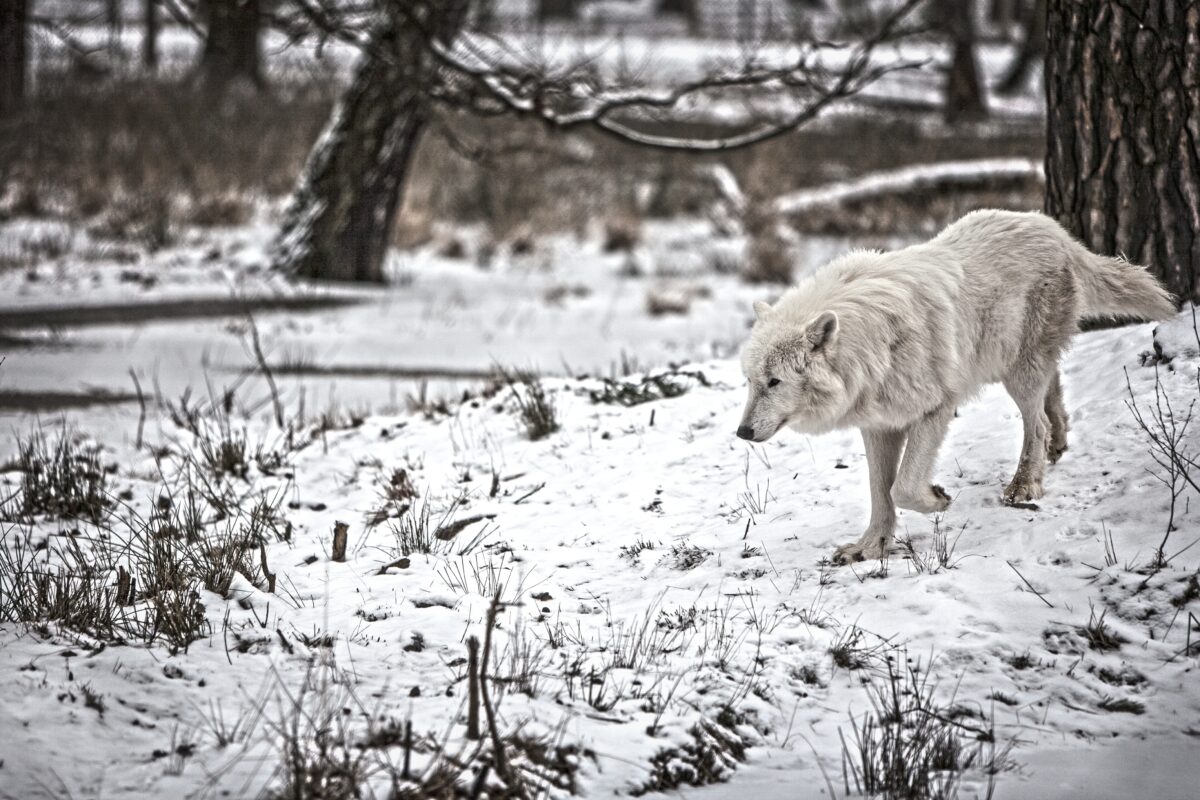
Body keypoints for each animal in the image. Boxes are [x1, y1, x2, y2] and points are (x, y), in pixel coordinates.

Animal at [736, 209, 1175, 563]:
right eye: (751, 381)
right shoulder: (878, 425)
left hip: (1017, 372)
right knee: (1052, 395)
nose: (742, 432)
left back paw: (1024, 485)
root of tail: (1057, 232)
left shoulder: (935, 408)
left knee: (1035, 423)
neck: (872, 346)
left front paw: (937, 499)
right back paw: (1058, 444)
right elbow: (880, 492)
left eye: (774, 382)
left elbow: (902, 488)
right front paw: (870, 548)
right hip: (1010, 362)